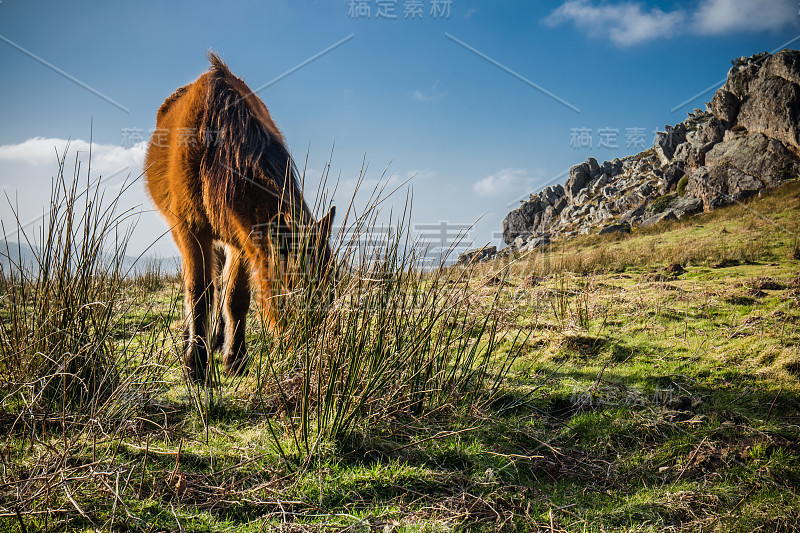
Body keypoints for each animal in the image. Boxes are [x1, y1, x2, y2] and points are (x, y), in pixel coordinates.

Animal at [146, 51, 334, 382]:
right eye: (293, 287)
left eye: (332, 290)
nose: (310, 352)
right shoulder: (192, 230)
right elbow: (199, 292)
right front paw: (195, 363)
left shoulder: (241, 239)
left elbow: (235, 297)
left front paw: (234, 358)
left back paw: (219, 338)